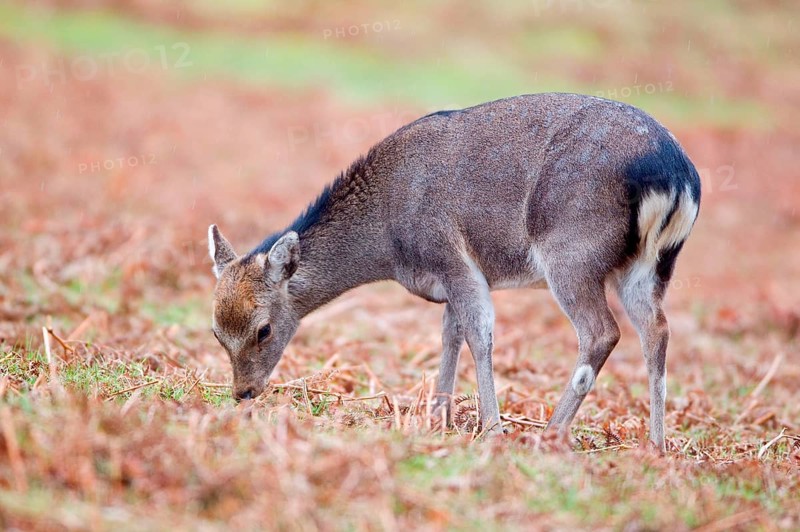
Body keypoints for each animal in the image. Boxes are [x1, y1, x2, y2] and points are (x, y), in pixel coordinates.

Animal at [208, 93, 700, 452]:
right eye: (215, 332)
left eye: (264, 329)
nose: (243, 392)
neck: (390, 244)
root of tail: (677, 175)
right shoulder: (448, 279)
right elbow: (451, 335)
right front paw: (437, 418)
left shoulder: (454, 257)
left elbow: (479, 334)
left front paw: (491, 429)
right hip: (650, 266)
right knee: (656, 330)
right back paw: (657, 447)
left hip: (571, 252)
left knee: (601, 332)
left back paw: (547, 435)